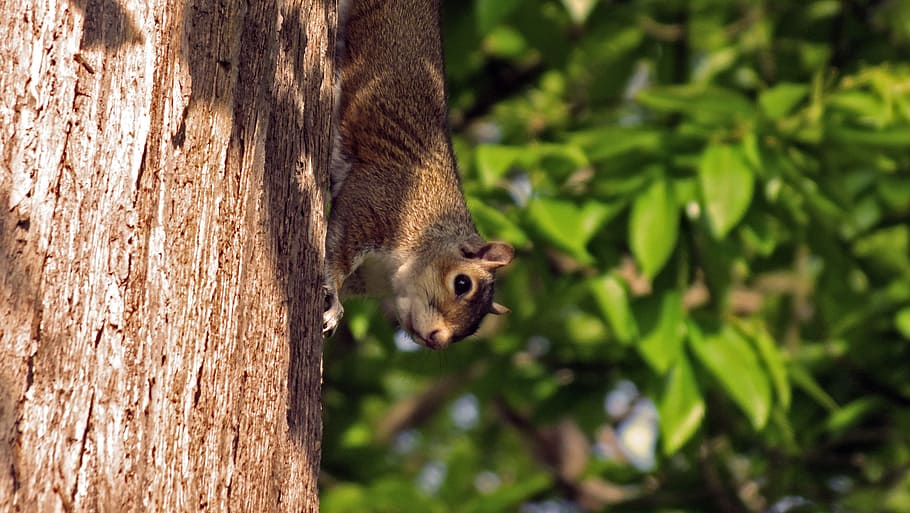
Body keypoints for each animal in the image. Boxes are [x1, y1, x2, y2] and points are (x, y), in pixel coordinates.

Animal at [322, 0, 514, 350]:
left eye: (472, 330)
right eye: (462, 283)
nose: (438, 340)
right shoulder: (377, 202)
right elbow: (336, 253)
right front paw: (334, 301)